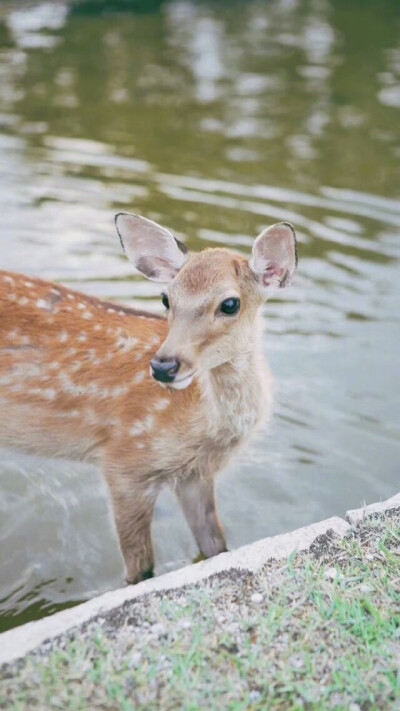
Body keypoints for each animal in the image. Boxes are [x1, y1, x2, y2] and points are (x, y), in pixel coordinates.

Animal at [0, 216, 296, 584]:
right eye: (166, 298)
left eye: (230, 303)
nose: (164, 365)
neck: (203, 426)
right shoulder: (124, 462)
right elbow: (141, 568)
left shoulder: (197, 475)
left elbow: (216, 544)